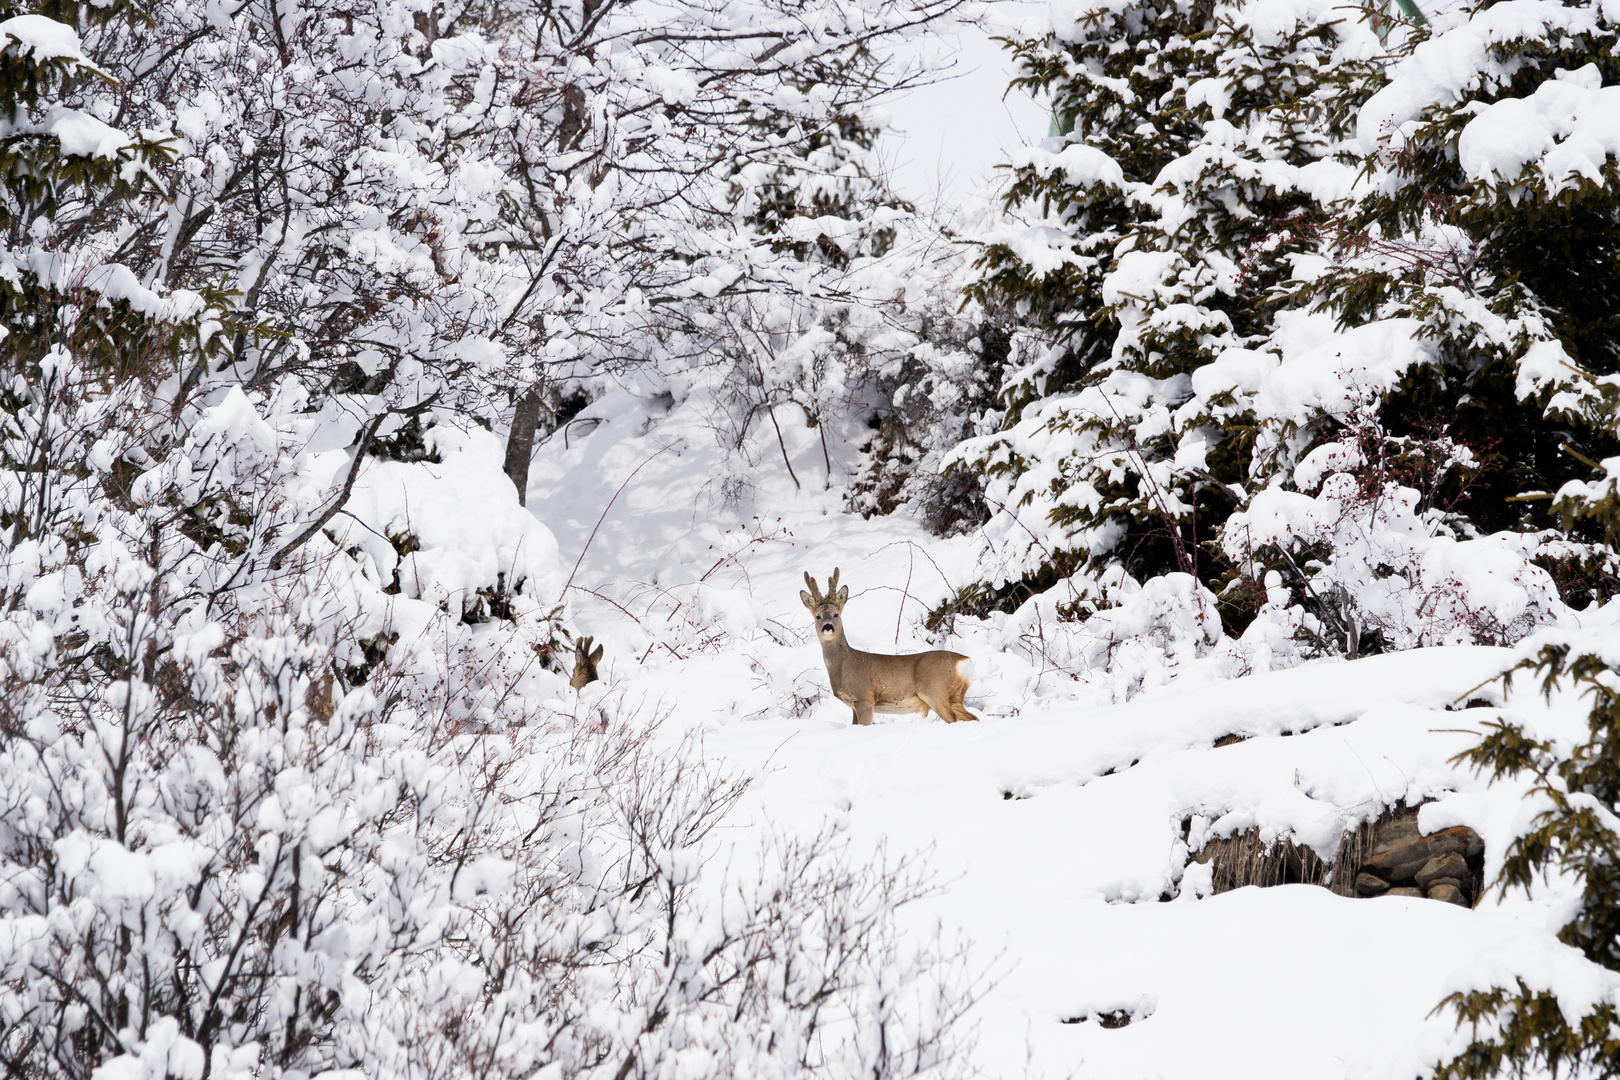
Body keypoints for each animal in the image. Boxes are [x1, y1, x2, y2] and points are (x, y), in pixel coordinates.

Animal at [797, 566, 972, 725]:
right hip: (955, 697)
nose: (828, 626)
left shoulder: (864, 698)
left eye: (836, 614)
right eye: (817, 616)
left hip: (935, 691)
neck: (844, 664)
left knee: (954, 719)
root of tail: (965, 661)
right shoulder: (854, 705)